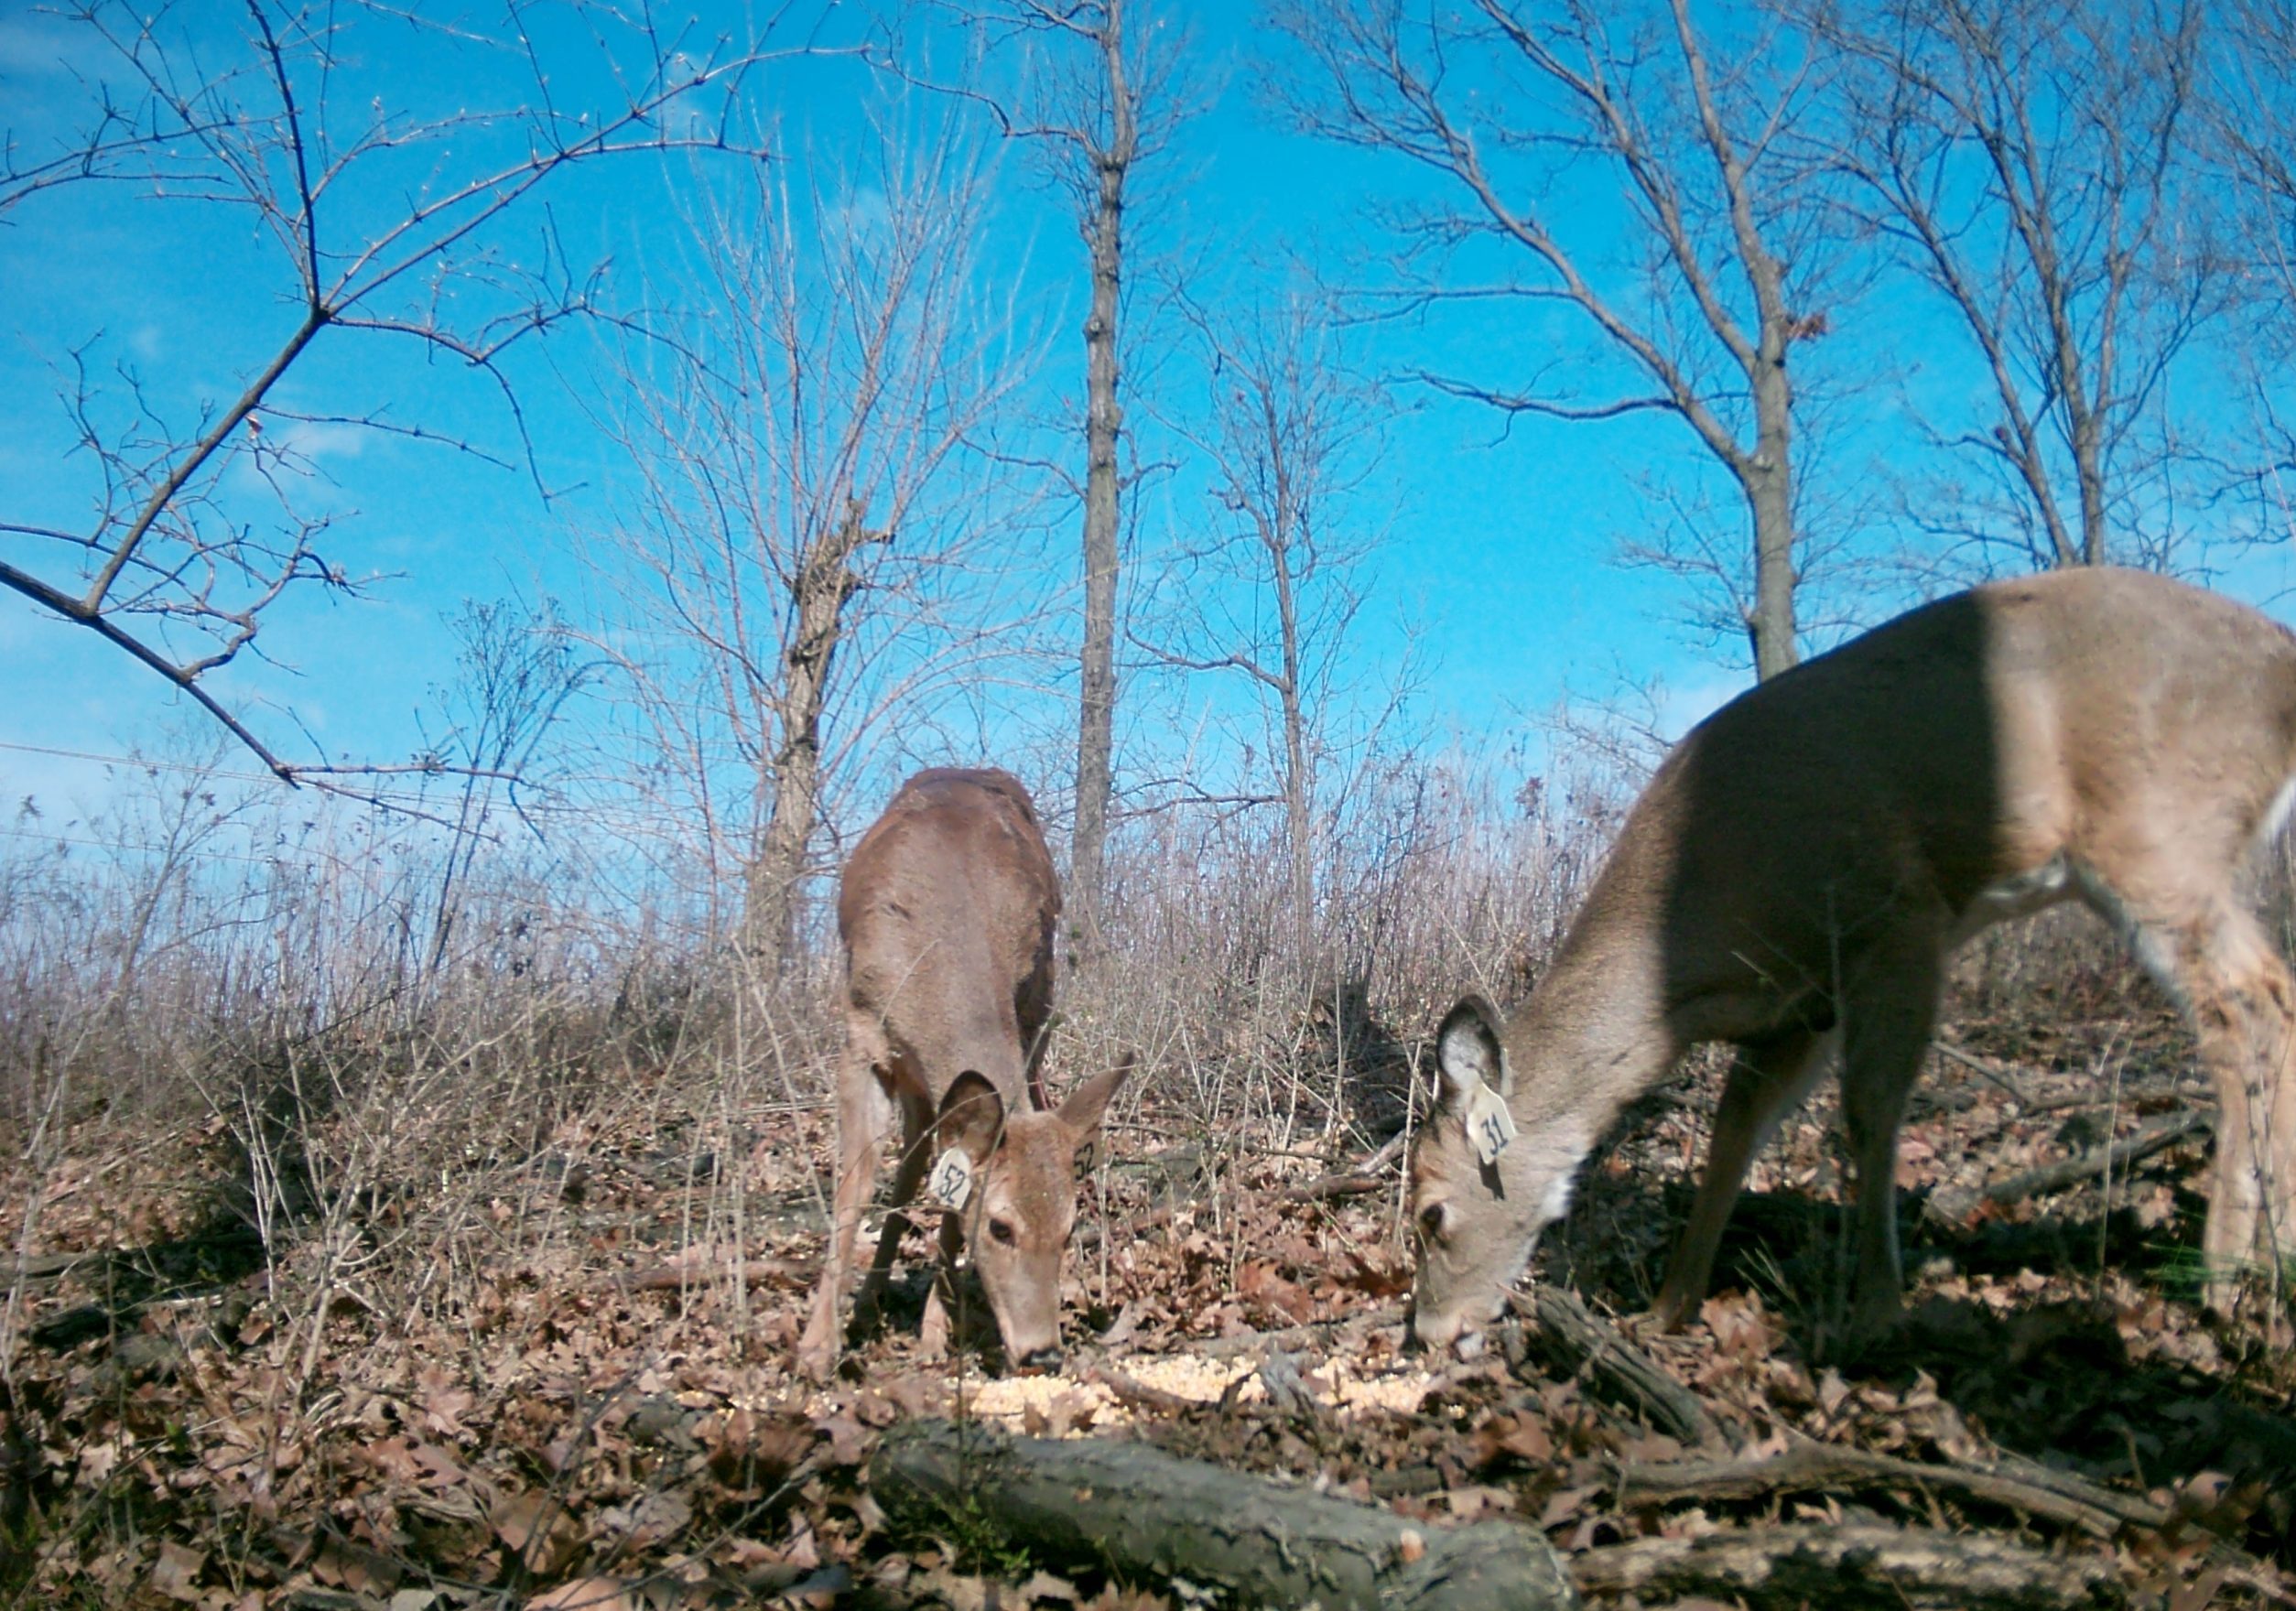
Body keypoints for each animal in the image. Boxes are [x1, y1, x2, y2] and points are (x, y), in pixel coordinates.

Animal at [798, 771, 1129, 1386]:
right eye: (1000, 1228)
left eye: (1070, 1228)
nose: (1042, 1353)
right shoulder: (859, 1037)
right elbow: (854, 1189)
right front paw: (816, 1348)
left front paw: (934, 1333)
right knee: (909, 1163)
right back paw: (866, 1304)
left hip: (1033, 1012)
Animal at [1404, 573, 2296, 1358]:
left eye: (1430, 1213)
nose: (1430, 1331)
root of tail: (2279, 660)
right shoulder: (1799, 1006)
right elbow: (1735, 1132)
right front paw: (1667, 1309)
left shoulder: (1894, 917)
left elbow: (1867, 1112)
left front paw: (1876, 1309)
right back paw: (2270, 1260)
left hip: (2158, 828)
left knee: (2248, 1003)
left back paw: (2223, 1272)